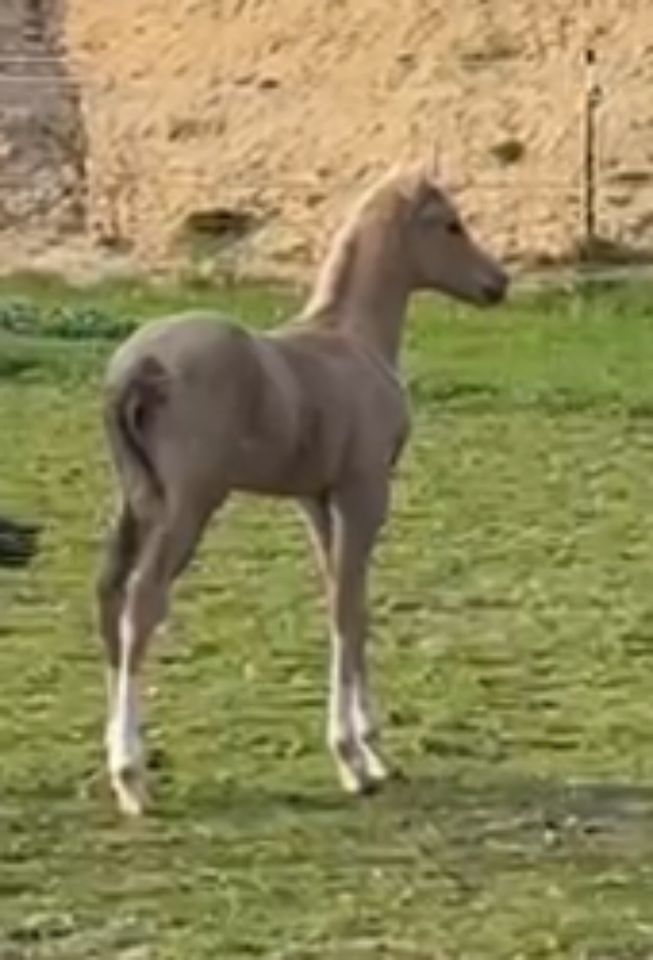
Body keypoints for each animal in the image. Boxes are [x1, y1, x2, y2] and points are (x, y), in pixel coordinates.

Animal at [97, 161, 506, 812]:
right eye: (451, 224)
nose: (499, 283)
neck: (352, 340)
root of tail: (138, 365)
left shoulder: (317, 500)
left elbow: (347, 601)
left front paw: (372, 749)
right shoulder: (365, 494)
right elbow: (347, 608)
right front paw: (353, 759)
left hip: (136, 503)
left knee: (109, 597)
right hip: (189, 505)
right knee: (142, 602)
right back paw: (132, 777)